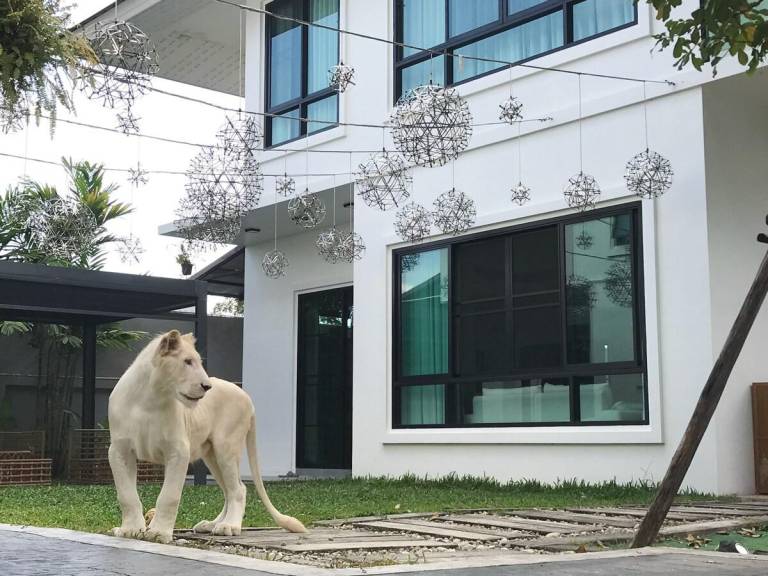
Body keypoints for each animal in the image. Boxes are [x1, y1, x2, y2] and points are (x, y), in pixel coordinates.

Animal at [107, 329, 306, 544]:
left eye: (198, 362)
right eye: (187, 361)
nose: (207, 386)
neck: (150, 398)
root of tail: (247, 397)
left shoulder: (178, 451)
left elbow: (169, 495)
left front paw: (159, 533)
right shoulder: (119, 451)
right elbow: (126, 495)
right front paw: (130, 530)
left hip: (226, 448)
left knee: (237, 490)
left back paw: (229, 526)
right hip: (212, 455)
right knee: (229, 490)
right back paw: (212, 524)